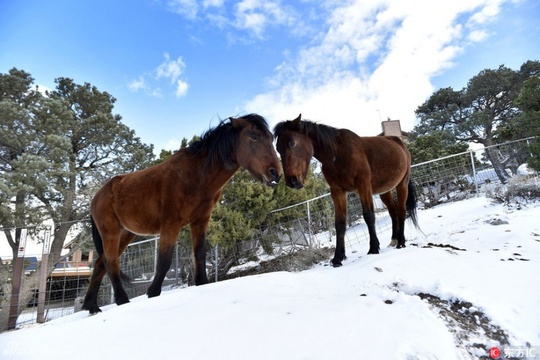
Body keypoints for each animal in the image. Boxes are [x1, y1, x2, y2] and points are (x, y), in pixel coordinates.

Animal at [83, 114, 282, 314]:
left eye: (271, 138)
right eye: (254, 136)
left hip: (126, 233)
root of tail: (96, 197)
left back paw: (92, 306)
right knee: (111, 263)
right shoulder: (170, 224)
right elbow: (164, 261)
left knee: (100, 264)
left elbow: (199, 253)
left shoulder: (200, 221)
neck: (194, 176)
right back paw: (121, 300)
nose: (276, 173)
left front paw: (202, 282)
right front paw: (153, 293)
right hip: (111, 232)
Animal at [272, 115, 420, 268]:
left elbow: (369, 216)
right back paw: (394, 239)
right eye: (277, 148)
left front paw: (373, 248)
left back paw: (401, 241)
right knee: (393, 211)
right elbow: (340, 223)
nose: (292, 181)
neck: (337, 154)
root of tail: (400, 143)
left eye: (292, 142)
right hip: (385, 190)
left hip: (402, 184)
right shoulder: (337, 191)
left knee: (402, 210)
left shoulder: (363, 186)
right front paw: (338, 257)